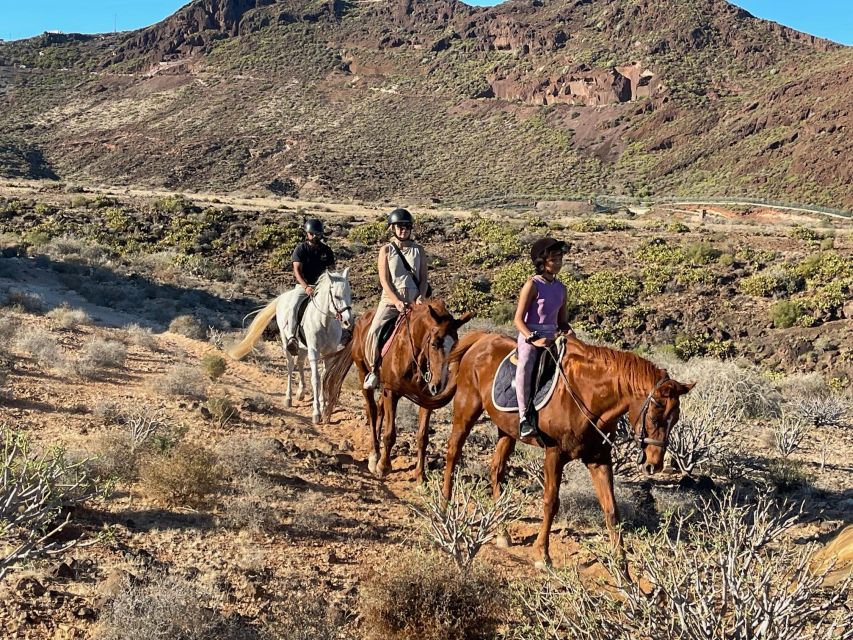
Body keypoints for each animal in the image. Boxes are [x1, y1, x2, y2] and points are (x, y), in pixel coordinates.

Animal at [225, 270, 354, 424]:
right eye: (336, 296)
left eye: (349, 295)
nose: (348, 322)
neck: (325, 323)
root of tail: (282, 297)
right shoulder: (314, 351)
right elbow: (316, 379)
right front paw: (316, 413)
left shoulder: (329, 353)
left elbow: (324, 377)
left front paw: (324, 410)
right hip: (286, 340)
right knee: (291, 365)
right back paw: (289, 398)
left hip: (303, 347)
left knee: (300, 363)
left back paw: (301, 393)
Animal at [324, 300, 476, 480]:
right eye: (434, 343)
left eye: (455, 347)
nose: (438, 385)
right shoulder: (392, 392)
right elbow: (390, 434)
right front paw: (383, 467)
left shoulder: (426, 398)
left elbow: (422, 437)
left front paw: (420, 474)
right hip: (363, 374)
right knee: (372, 410)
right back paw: (374, 456)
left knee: (379, 408)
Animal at [440, 332, 692, 568]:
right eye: (655, 416)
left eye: (675, 419)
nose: (654, 464)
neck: (588, 397)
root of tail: (482, 339)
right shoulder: (555, 454)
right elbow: (551, 502)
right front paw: (543, 554)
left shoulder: (599, 459)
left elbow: (611, 510)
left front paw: (622, 566)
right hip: (466, 409)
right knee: (453, 453)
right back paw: (444, 508)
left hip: (506, 430)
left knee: (496, 470)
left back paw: (502, 532)